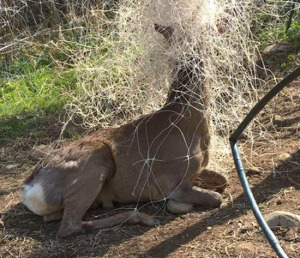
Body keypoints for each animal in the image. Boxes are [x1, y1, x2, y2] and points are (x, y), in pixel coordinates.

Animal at [20, 24, 227, 238]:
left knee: (53, 218)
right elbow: (216, 198)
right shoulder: (170, 182)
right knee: (69, 226)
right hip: (93, 160)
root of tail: (28, 189)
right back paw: (141, 217)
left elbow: (223, 179)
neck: (189, 124)